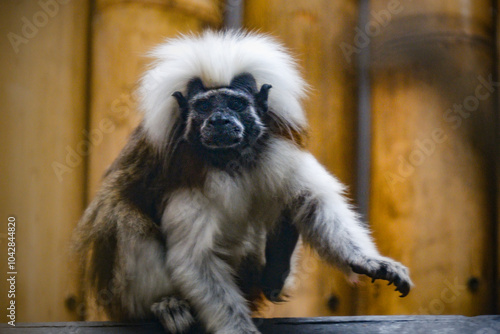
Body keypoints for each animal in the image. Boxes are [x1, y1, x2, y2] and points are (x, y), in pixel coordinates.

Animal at [73, 30, 410, 334]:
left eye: (235, 104)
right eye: (205, 107)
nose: (220, 120)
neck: (230, 159)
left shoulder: (275, 149)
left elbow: (314, 203)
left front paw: (368, 261)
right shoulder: (189, 179)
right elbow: (195, 261)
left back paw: (276, 268)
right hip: (119, 295)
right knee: (126, 218)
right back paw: (165, 305)